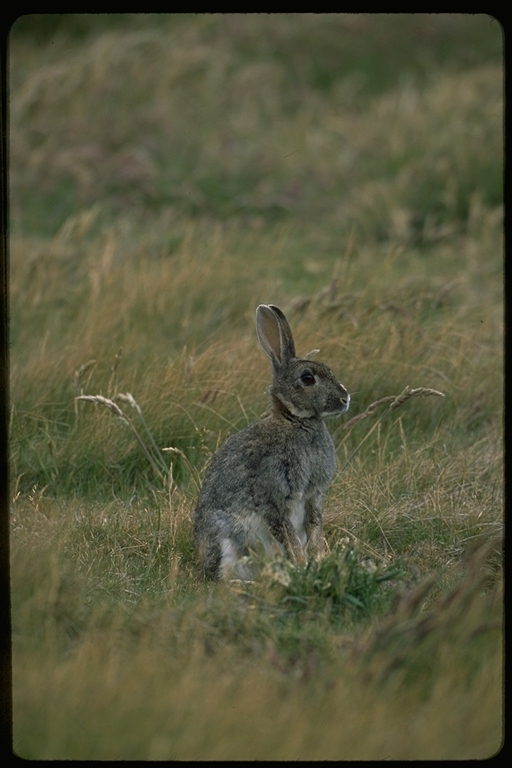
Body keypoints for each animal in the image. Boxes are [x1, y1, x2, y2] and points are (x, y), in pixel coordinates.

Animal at [194, 304, 350, 580]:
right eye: (307, 378)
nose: (345, 399)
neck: (295, 420)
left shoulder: (314, 495)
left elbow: (315, 525)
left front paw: (316, 559)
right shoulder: (273, 498)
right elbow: (289, 536)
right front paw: (302, 564)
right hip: (228, 542)